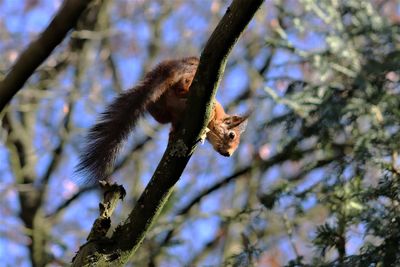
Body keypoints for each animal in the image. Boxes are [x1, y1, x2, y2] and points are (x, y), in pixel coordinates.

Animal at [76, 57, 248, 182]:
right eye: (231, 135)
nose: (228, 155)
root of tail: (167, 70)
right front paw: (209, 116)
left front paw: (175, 133)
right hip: (190, 78)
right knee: (183, 87)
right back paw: (187, 93)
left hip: (160, 111)